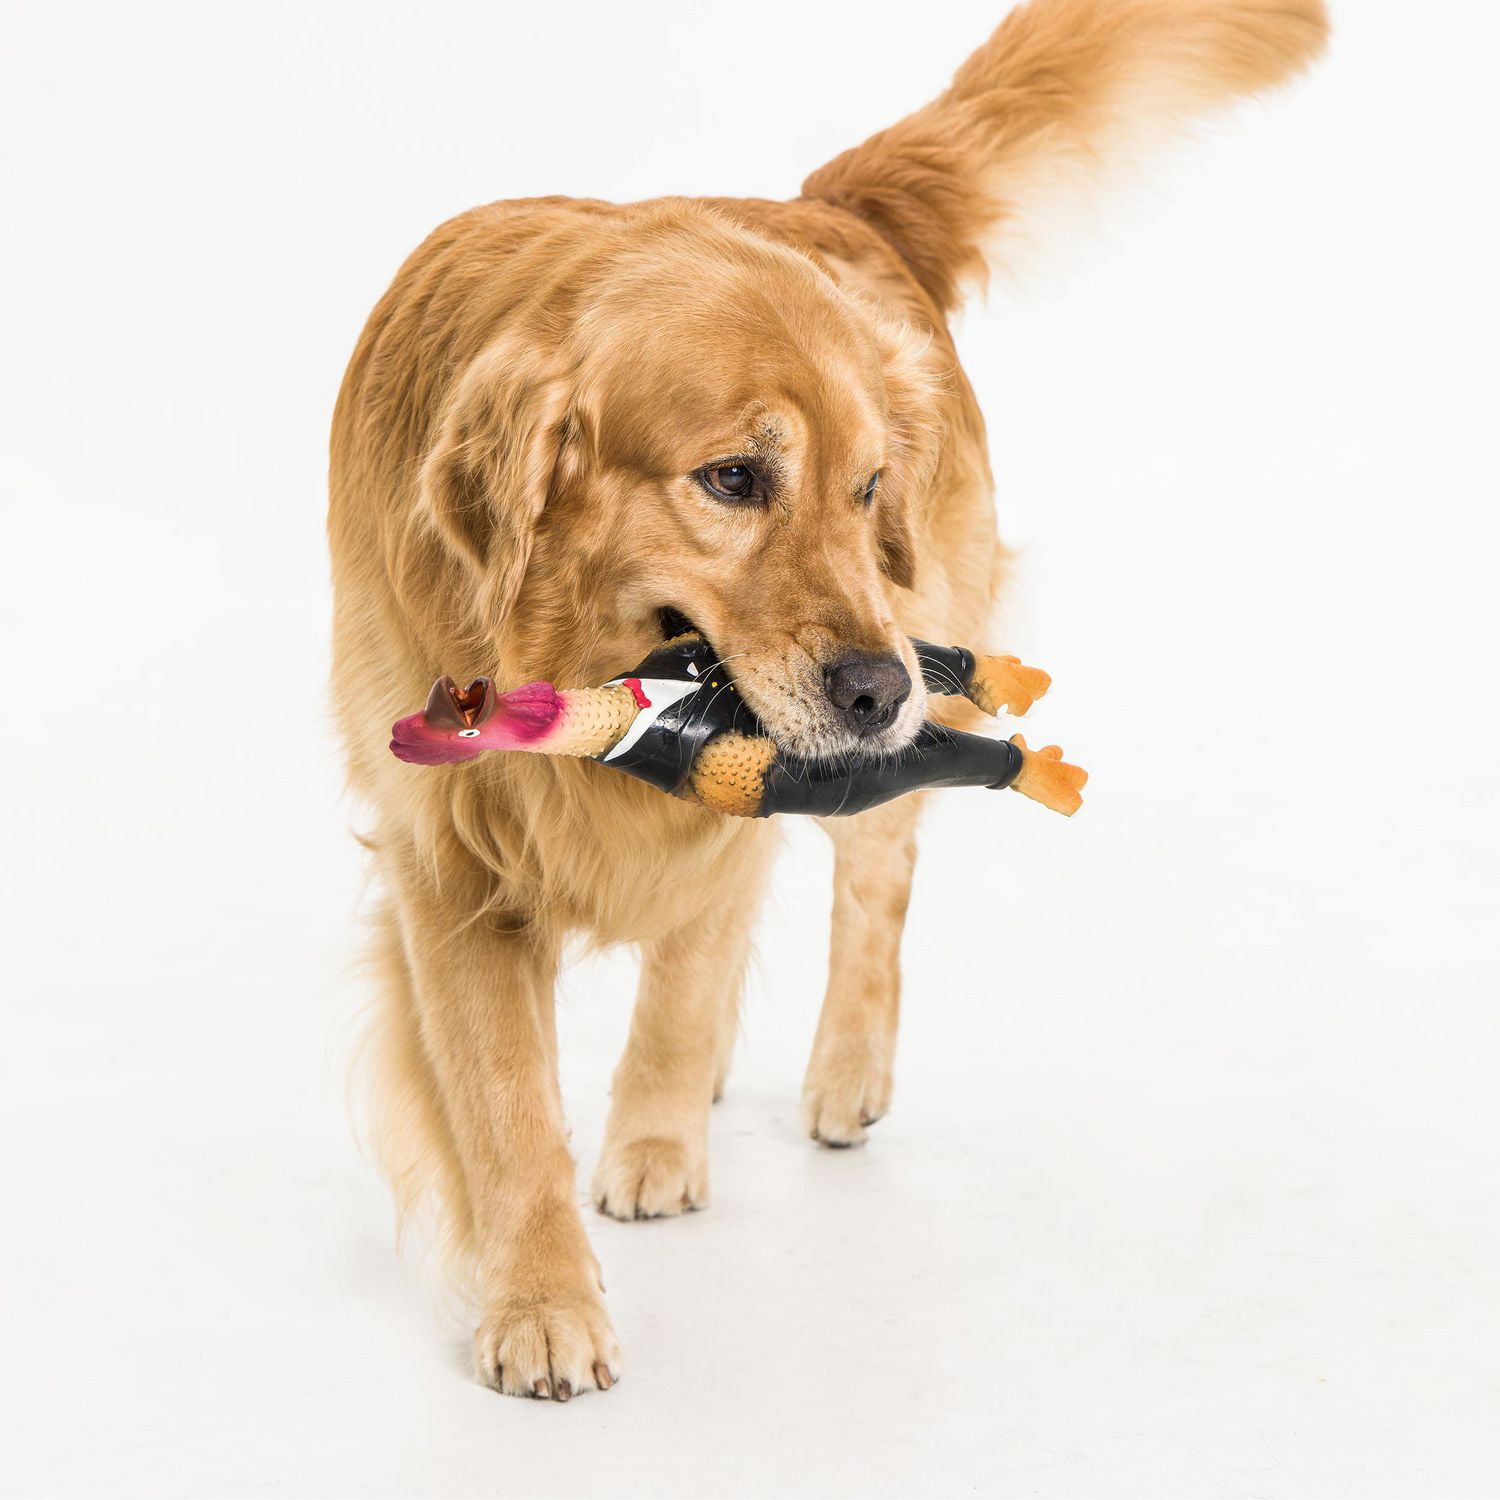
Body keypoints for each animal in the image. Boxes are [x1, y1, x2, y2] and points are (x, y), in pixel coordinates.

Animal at [328, 0, 1326, 1392]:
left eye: (866, 489)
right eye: (734, 478)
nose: (878, 691)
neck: (575, 661)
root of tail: (831, 207)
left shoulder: (728, 798)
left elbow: (687, 979)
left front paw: (649, 1147)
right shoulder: (448, 854)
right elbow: (505, 1097)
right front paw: (541, 1302)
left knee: (876, 889)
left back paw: (835, 1076)